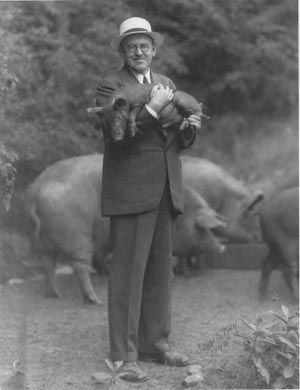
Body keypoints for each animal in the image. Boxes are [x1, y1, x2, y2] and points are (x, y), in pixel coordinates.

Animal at [24, 153, 109, 304]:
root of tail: (37, 194)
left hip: (39, 239)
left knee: (47, 263)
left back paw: (56, 294)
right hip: (77, 233)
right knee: (80, 265)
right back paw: (95, 300)